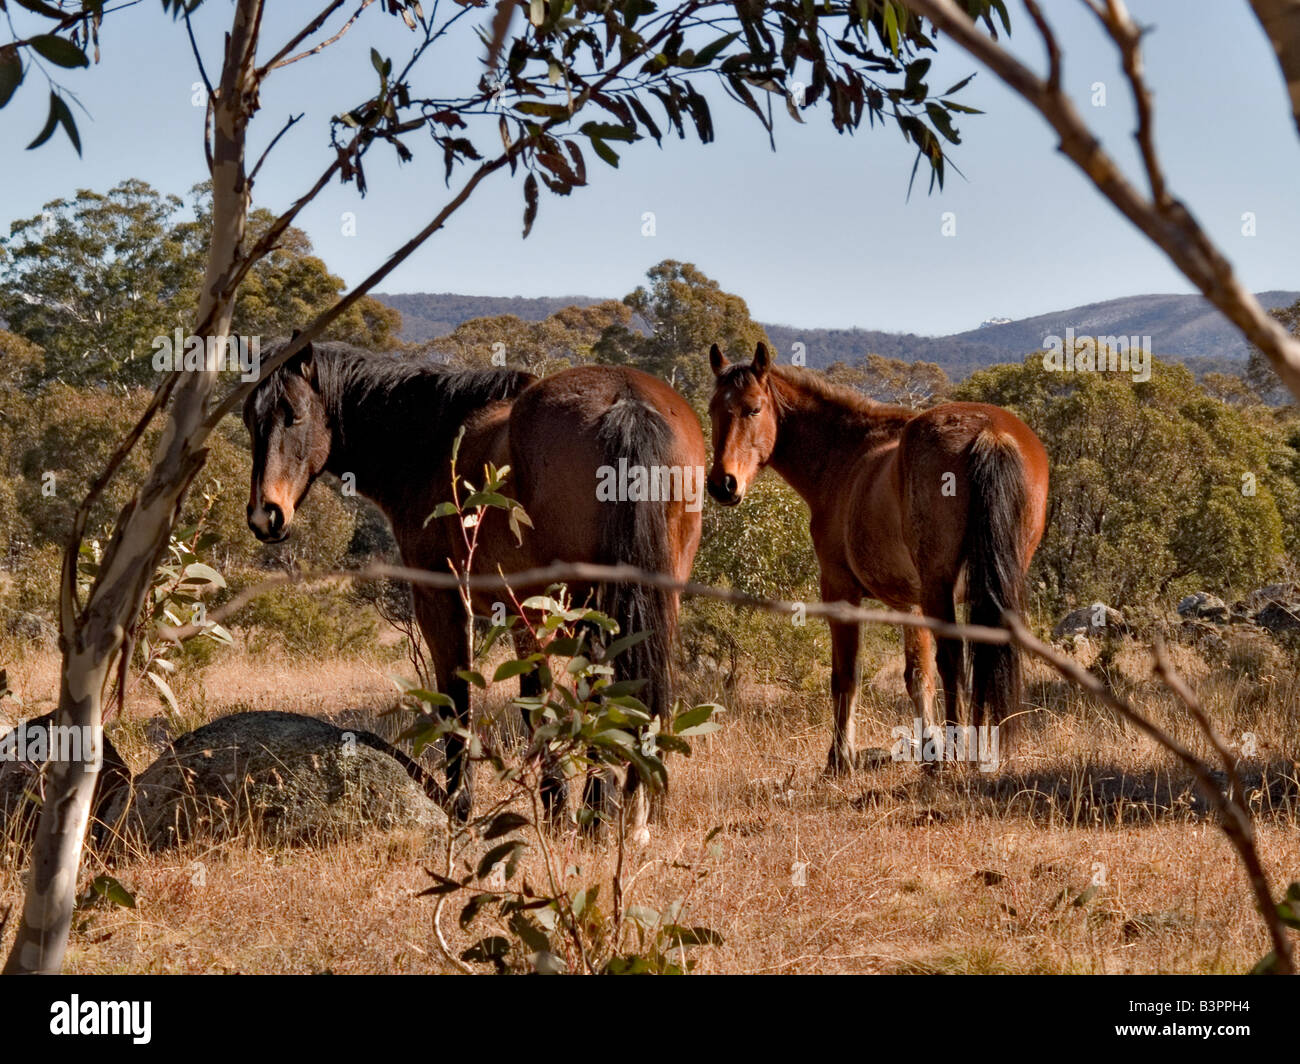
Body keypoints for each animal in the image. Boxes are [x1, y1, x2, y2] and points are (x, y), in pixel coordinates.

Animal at [243, 340, 706, 826]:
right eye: (250, 419)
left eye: (293, 414)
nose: (265, 515)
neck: (430, 444)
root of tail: (625, 400)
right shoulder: (527, 616)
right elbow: (534, 702)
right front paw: (554, 804)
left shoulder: (446, 603)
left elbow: (462, 701)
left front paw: (465, 803)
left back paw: (598, 812)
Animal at [706, 342, 1048, 774]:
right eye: (713, 410)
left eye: (753, 408)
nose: (722, 484)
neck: (846, 457)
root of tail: (990, 431)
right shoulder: (910, 603)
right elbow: (918, 676)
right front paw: (928, 748)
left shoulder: (840, 590)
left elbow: (846, 675)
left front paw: (839, 757)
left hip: (939, 587)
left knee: (953, 660)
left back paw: (956, 754)